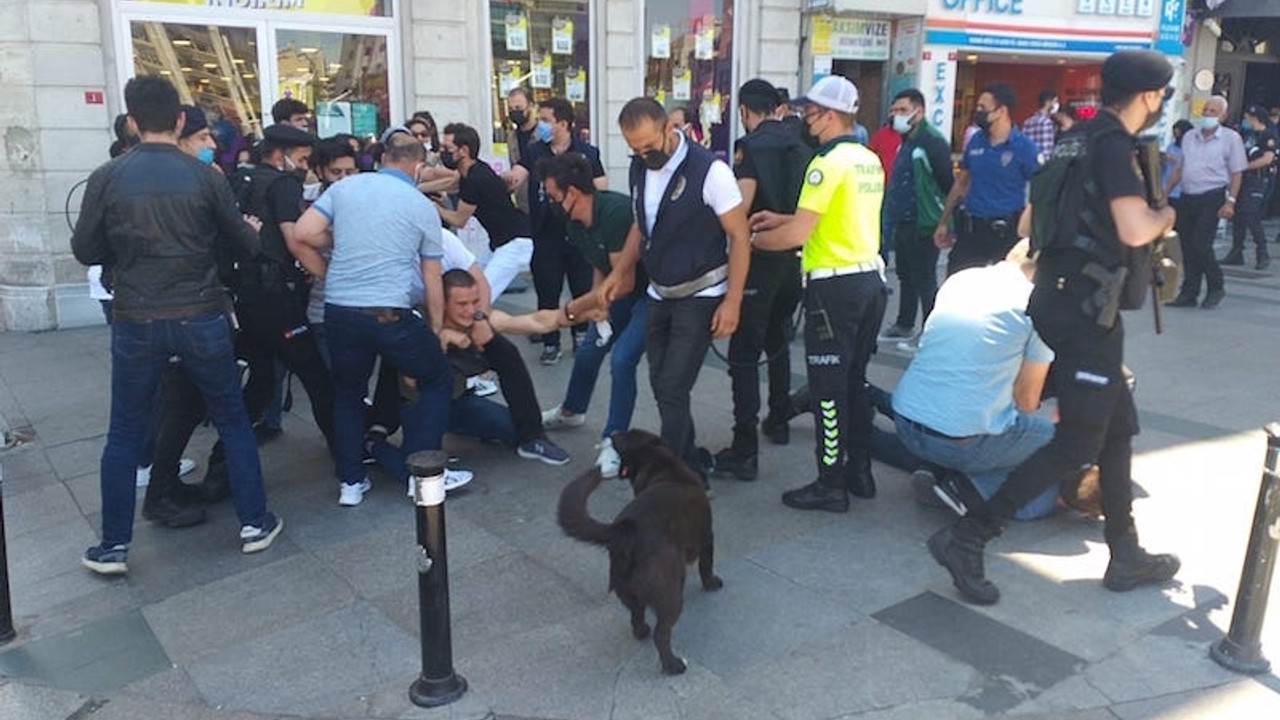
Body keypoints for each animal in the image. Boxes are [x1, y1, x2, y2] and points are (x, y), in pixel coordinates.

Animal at [558, 427, 727, 671]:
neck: (664, 468)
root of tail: (625, 530)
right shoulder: (707, 537)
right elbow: (707, 564)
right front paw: (712, 583)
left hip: (626, 589)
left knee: (636, 616)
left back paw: (642, 631)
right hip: (669, 593)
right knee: (662, 633)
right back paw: (674, 665)